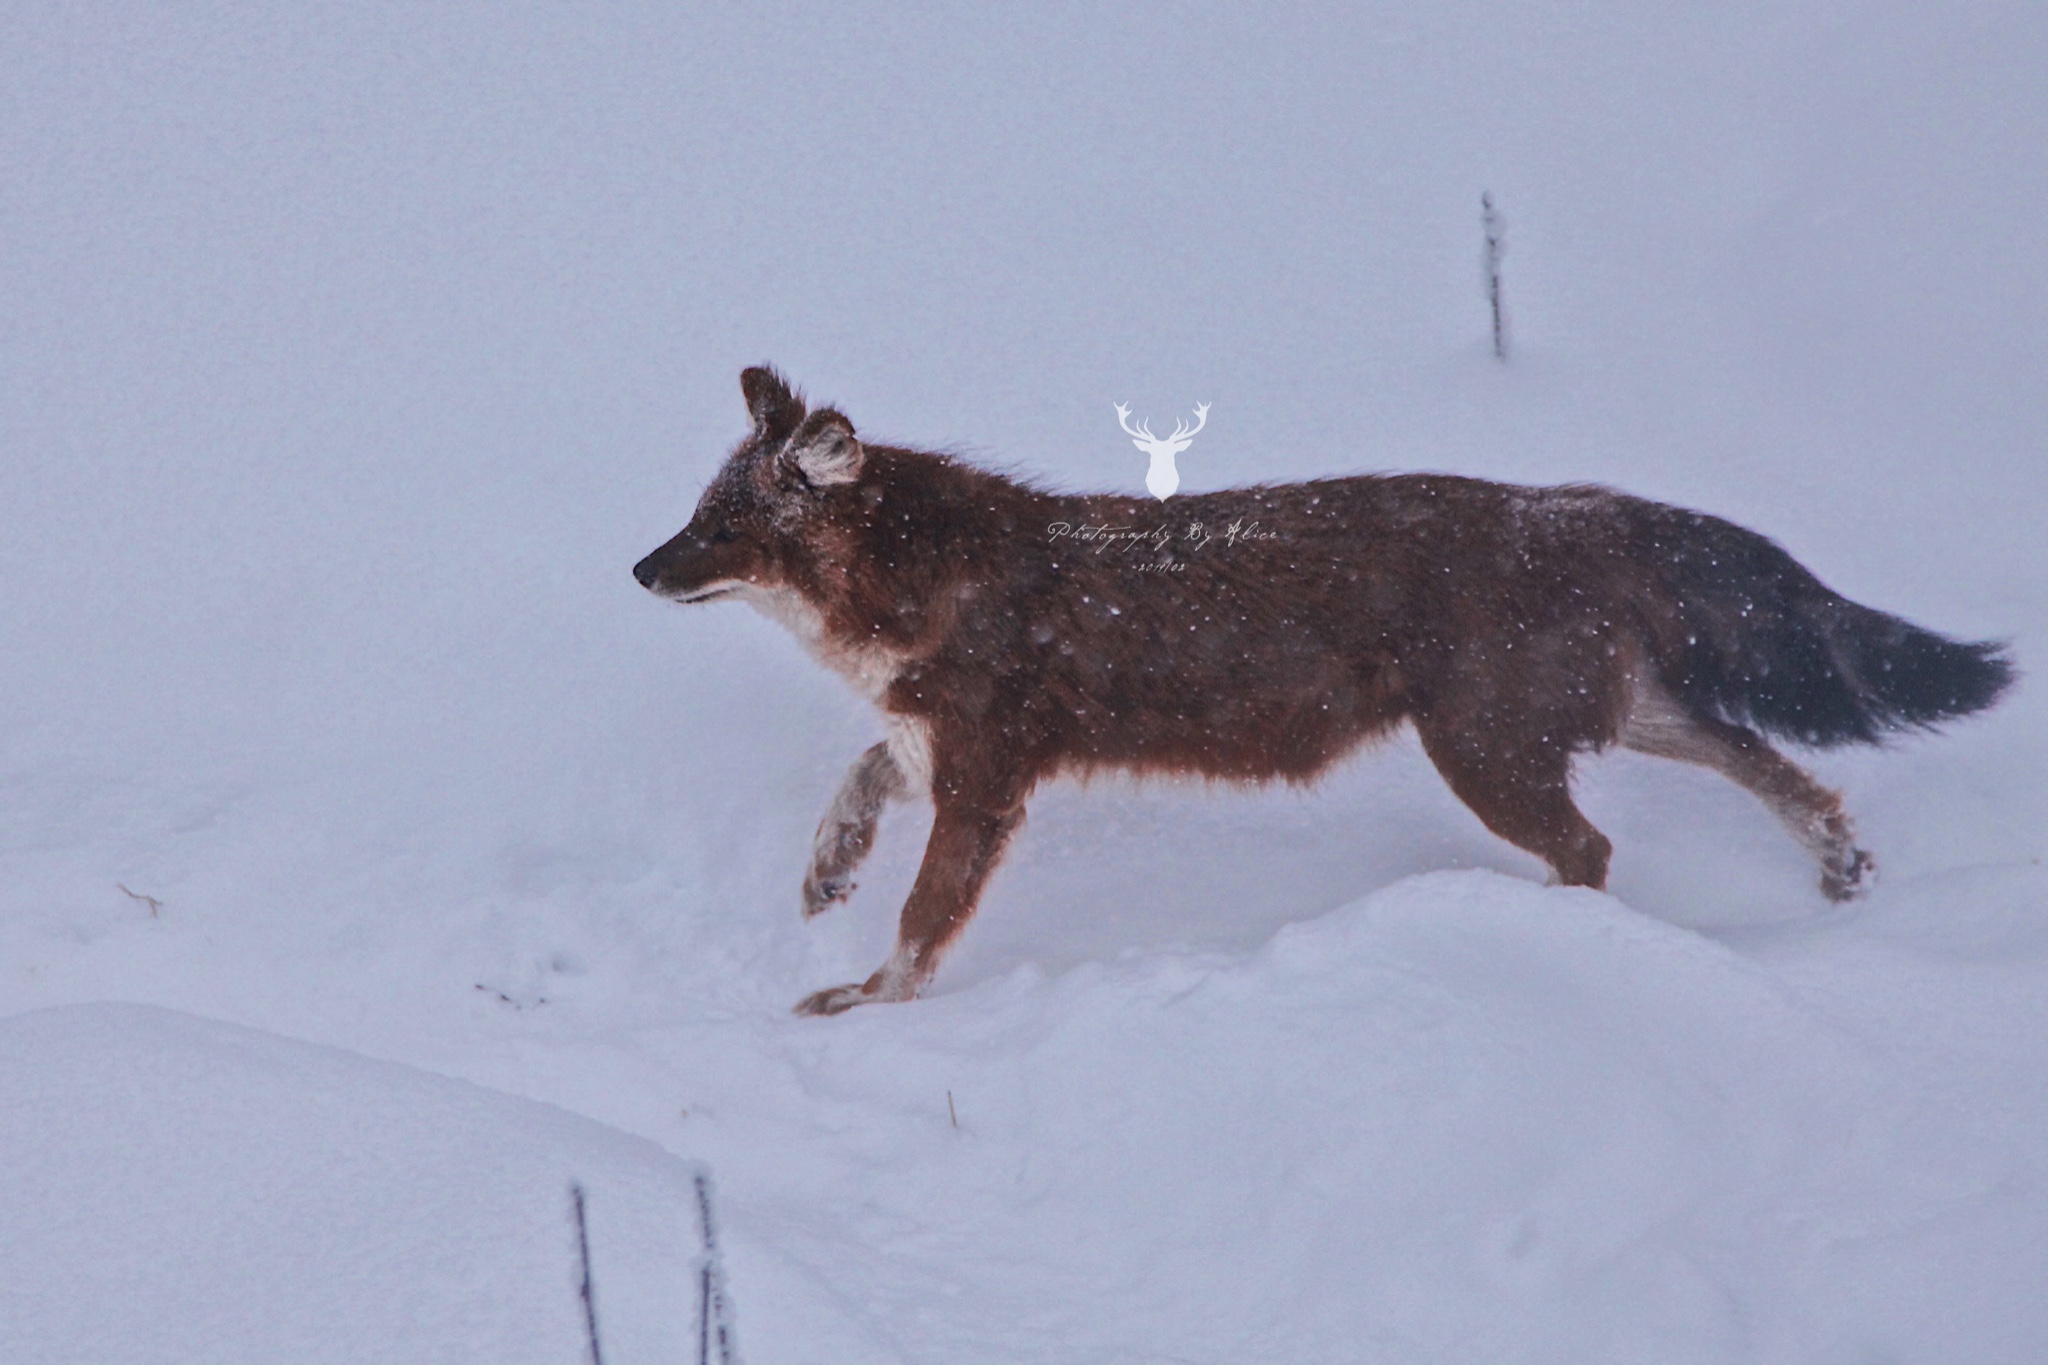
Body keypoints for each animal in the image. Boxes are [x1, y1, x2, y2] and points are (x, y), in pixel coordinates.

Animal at [634, 362, 2015, 1015]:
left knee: (1596, 845)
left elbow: (922, 927)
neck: (921, 586)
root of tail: (1571, 503)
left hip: (1487, 757)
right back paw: (1838, 871)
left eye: (719, 528)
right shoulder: (942, 742)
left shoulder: (986, 774)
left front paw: (861, 1008)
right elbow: (861, 769)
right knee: (1772, 764)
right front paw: (827, 871)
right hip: (1603, 717)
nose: (639, 569)